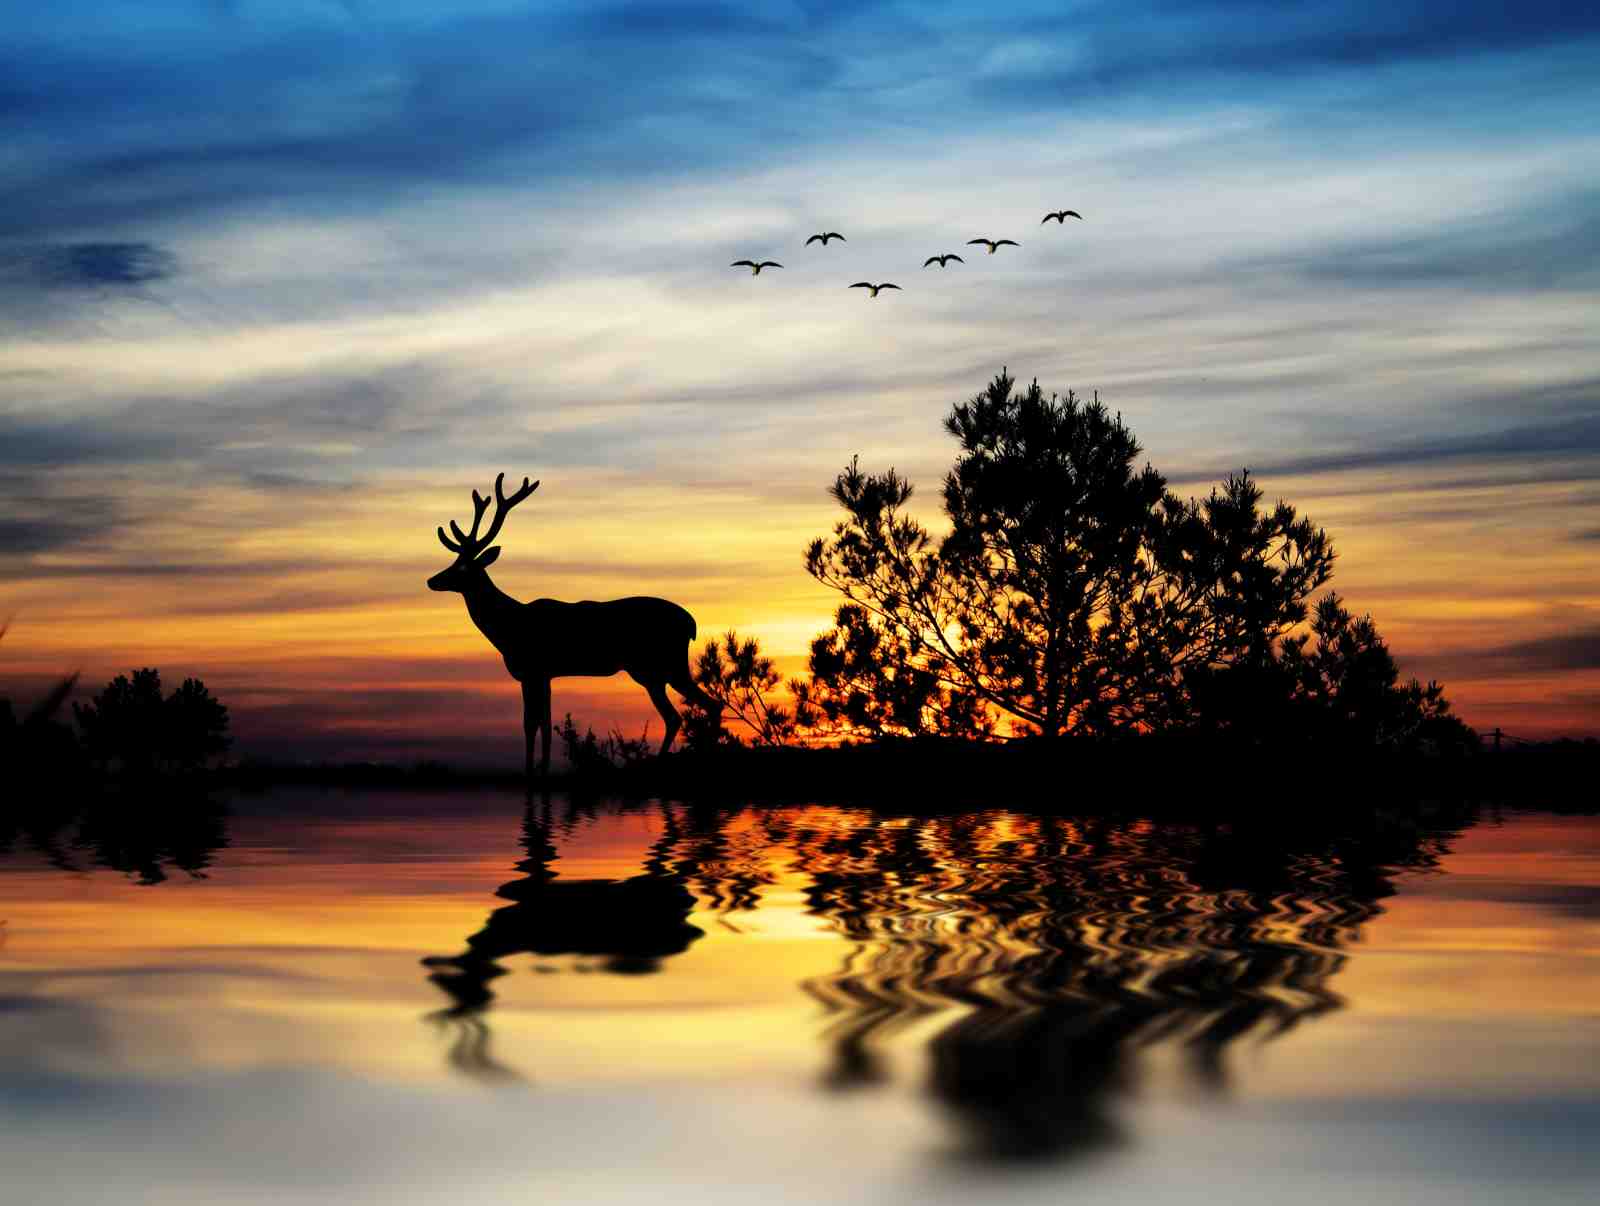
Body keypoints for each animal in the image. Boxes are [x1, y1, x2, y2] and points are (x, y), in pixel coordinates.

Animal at [427, 473, 719, 777]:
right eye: (453, 561)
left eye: (462, 567)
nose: (432, 580)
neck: (508, 628)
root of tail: (691, 623)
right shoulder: (543, 674)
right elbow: (542, 724)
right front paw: (540, 769)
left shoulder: (534, 669)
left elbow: (532, 724)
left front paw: (534, 772)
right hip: (654, 670)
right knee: (692, 711)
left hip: (663, 664)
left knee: (693, 710)